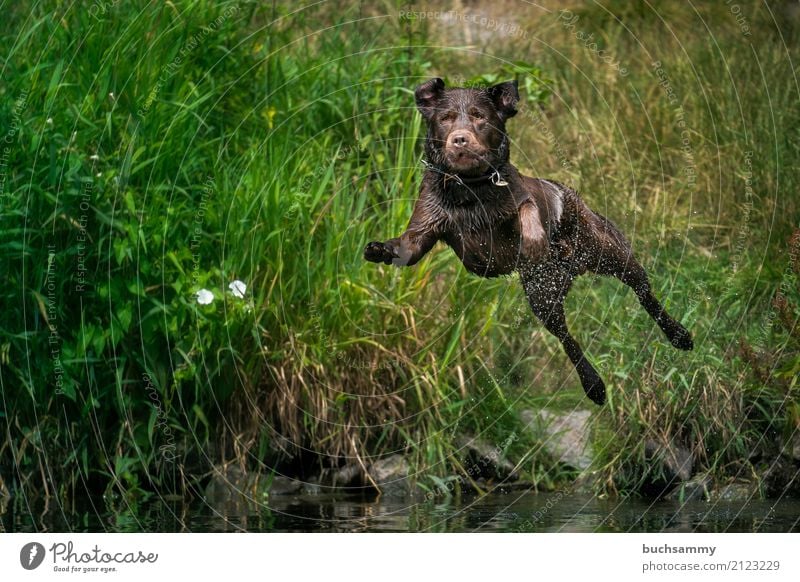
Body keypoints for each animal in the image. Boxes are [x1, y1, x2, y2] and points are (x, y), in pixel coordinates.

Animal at [364, 78, 692, 406]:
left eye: (480, 117)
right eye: (445, 119)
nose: (459, 140)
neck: (470, 191)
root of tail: (572, 268)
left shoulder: (520, 196)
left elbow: (527, 211)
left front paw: (534, 241)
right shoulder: (426, 225)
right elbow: (407, 247)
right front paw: (378, 249)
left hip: (608, 250)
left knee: (643, 292)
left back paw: (679, 335)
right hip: (542, 297)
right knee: (567, 339)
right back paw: (594, 385)